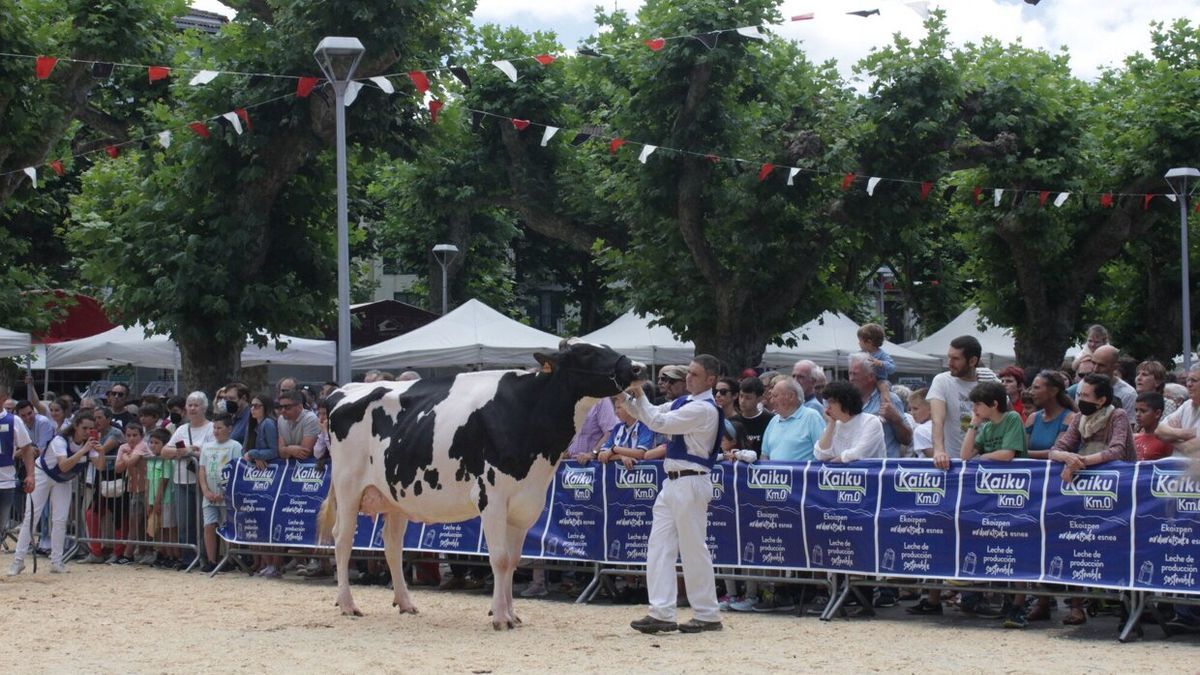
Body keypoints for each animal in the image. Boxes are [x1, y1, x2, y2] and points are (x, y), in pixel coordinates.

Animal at [314, 338, 643, 629]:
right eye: (587, 352)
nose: (637, 367)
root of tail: (345, 389)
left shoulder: (526, 504)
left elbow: (513, 560)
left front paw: (512, 614)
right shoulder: (492, 498)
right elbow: (499, 558)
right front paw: (500, 617)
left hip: (395, 494)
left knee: (392, 544)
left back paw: (405, 603)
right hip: (348, 486)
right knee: (342, 539)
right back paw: (347, 604)